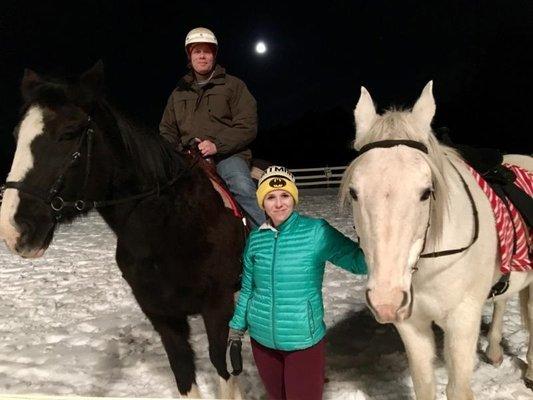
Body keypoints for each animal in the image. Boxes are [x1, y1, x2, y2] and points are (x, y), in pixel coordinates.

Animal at [0, 61, 245, 396]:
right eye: (16, 134)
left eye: (70, 132)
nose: (13, 228)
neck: (171, 228)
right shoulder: (163, 318)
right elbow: (184, 376)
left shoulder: (218, 308)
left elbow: (225, 371)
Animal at [340, 79, 532, 398]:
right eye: (354, 192)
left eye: (426, 192)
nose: (385, 301)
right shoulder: (412, 325)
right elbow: (424, 385)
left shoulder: (462, 322)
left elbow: (457, 389)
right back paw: (494, 351)